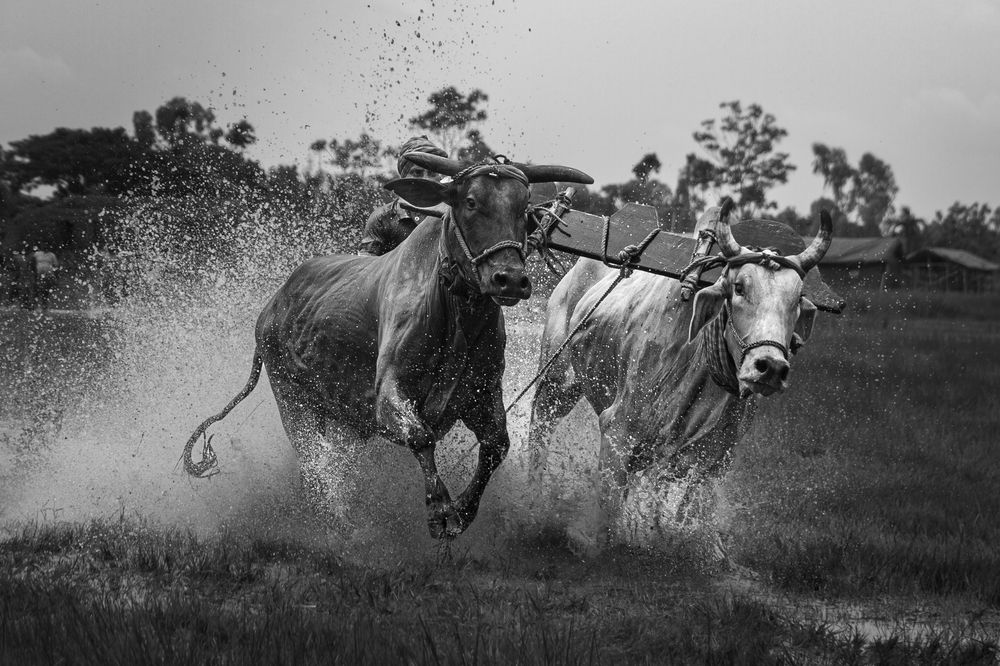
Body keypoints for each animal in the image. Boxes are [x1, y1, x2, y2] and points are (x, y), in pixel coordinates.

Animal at [182, 153, 593, 539]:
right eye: (471, 202)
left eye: (524, 208)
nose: (510, 279)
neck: (455, 311)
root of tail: (272, 306)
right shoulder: (389, 394)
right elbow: (421, 436)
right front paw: (440, 511)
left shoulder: (483, 392)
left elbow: (497, 446)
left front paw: (462, 510)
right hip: (293, 399)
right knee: (316, 466)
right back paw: (337, 523)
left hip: (347, 419)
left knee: (336, 465)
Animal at [526, 198, 836, 552]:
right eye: (739, 287)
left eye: (797, 298)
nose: (770, 367)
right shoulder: (618, 430)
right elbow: (607, 515)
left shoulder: (714, 461)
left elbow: (692, 515)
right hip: (555, 382)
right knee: (538, 434)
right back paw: (531, 503)